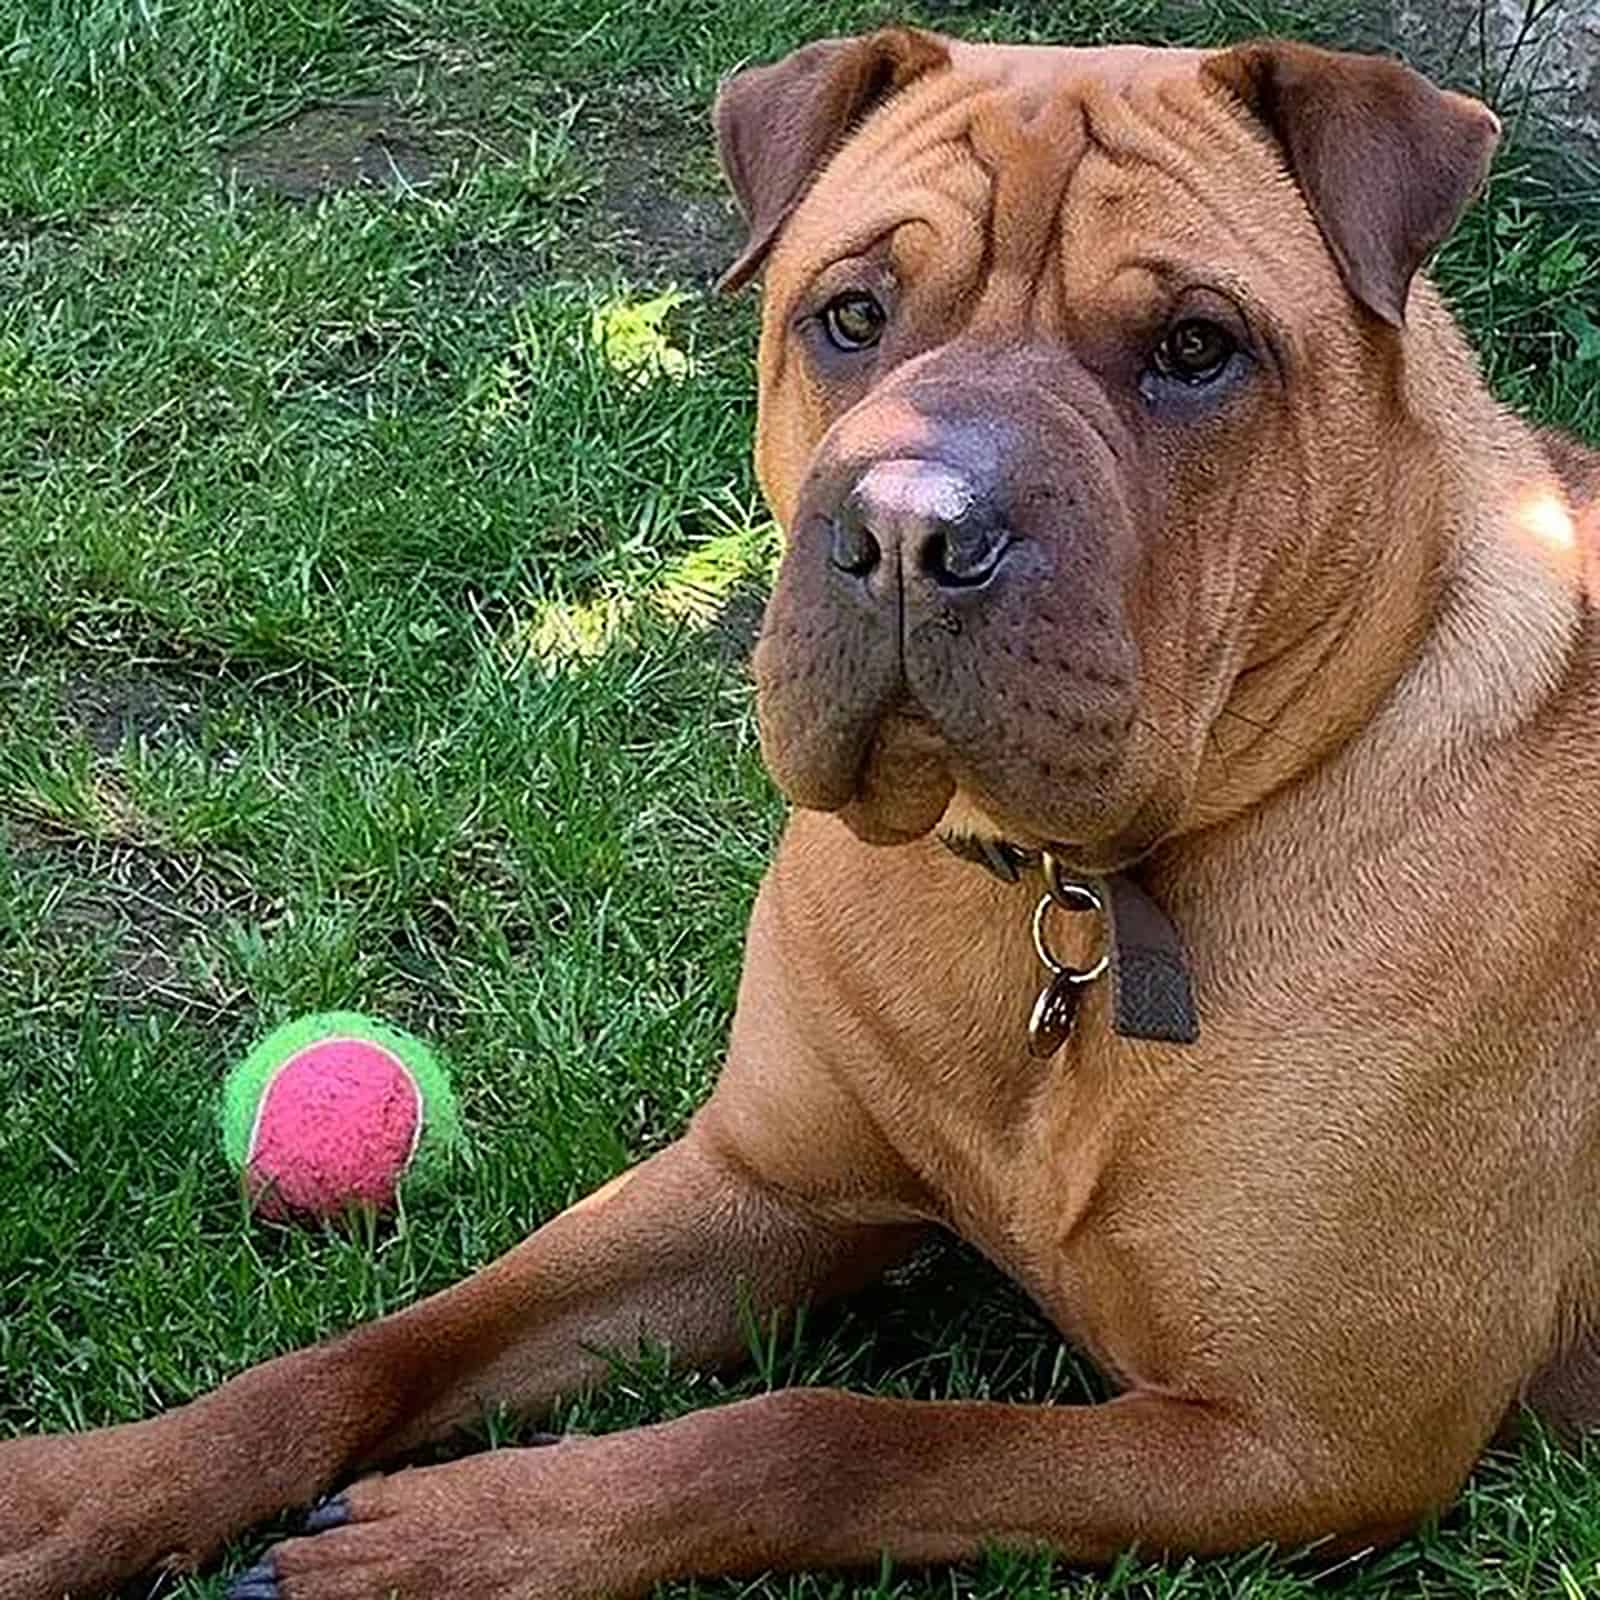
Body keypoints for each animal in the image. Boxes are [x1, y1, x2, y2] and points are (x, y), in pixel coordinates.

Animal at [3, 25, 1600, 1600]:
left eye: (1197, 349)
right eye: (851, 314)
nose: (905, 524)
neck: (1052, 906)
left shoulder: (1303, 1442)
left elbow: (823, 1432)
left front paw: (461, 1537)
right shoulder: (754, 1183)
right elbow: (383, 1344)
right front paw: (91, 1488)